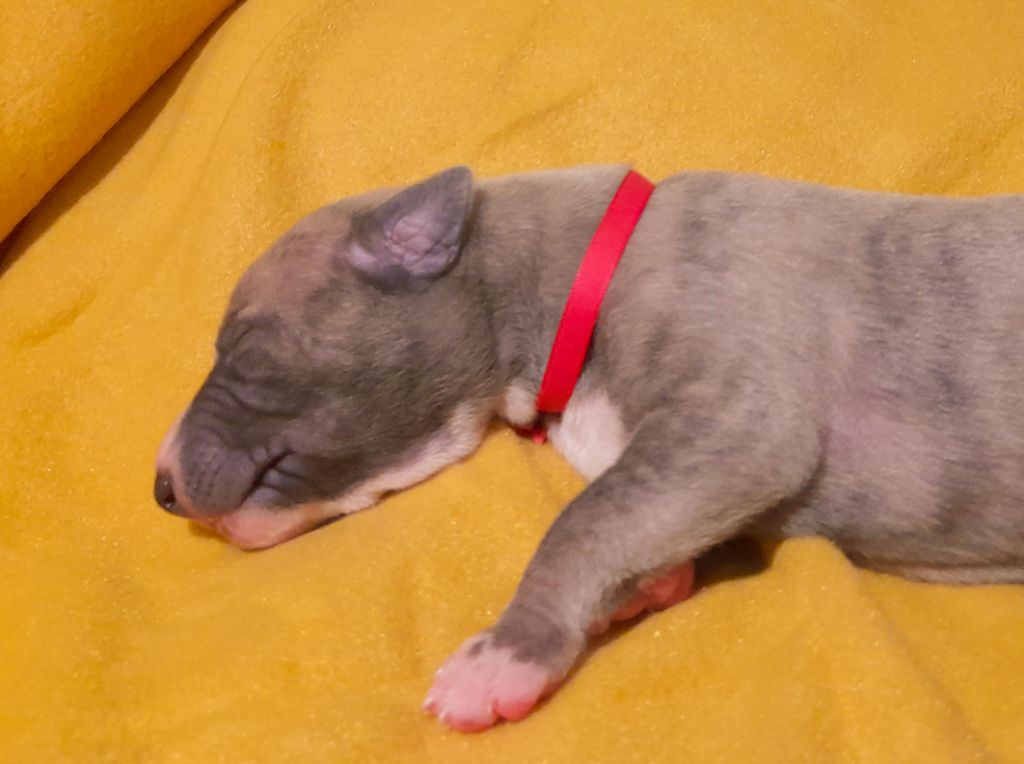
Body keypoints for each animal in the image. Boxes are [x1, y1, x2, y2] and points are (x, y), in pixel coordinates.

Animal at [154, 165, 1024, 730]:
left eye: (238, 344)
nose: (159, 489)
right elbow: (626, 513)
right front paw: (649, 584)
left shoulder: (738, 418)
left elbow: (583, 521)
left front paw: (503, 657)